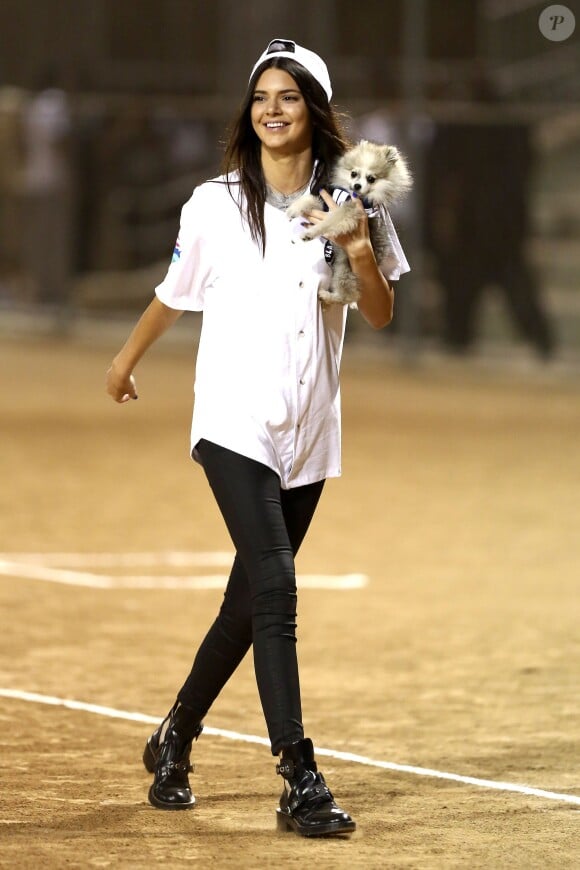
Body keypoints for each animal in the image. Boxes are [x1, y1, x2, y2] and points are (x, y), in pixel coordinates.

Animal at [286, 140, 412, 306]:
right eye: (353, 174)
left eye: (371, 178)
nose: (357, 185)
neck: (350, 196)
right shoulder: (327, 204)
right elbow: (311, 199)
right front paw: (294, 208)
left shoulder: (348, 213)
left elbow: (329, 222)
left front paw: (310, 233)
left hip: (345, 271)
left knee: (349, 296)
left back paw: (327, 296)